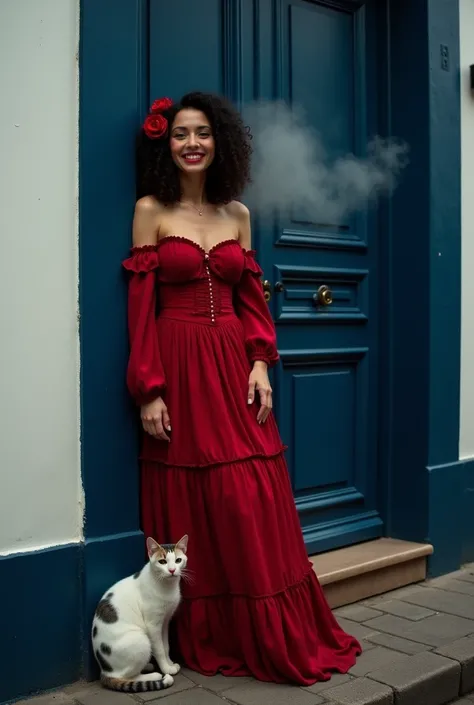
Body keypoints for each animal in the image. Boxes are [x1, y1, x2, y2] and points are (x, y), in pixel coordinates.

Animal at [90, 532, 189, 692]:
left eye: (178, 560)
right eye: (162, 562)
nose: (172, 570)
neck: (167, 586)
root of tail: (105, 671)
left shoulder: (165, 621)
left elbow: (165, 646)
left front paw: (169, 663)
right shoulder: (153, 625)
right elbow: (159, 649)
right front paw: (166, 668)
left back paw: (147, 666)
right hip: (141, 640)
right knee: (127, 676)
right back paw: (154, 675)